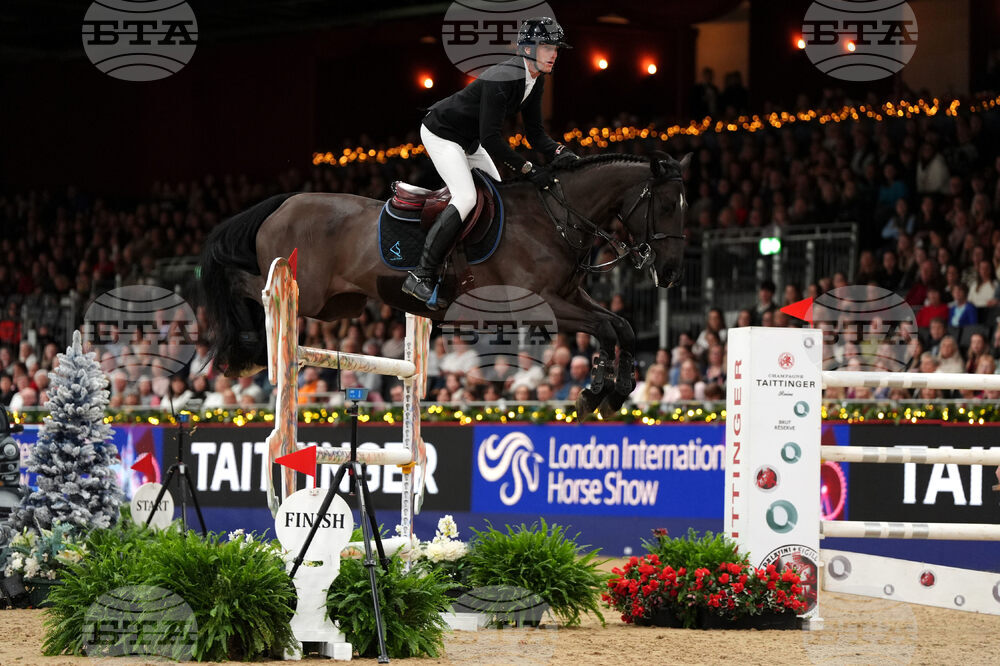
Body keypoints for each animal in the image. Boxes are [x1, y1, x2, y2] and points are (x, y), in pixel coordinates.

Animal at [199, 151, 690, 417]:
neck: (555, 219)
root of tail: (284, 202)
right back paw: (242, 349)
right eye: (667, 206)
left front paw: (611, 390)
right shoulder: (539, 304)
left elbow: (620, 326)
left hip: (340, 305)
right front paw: (599, 390)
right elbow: (607, 327)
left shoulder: (570, 297)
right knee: (244, 284)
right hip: (310, 293)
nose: (669, 273)